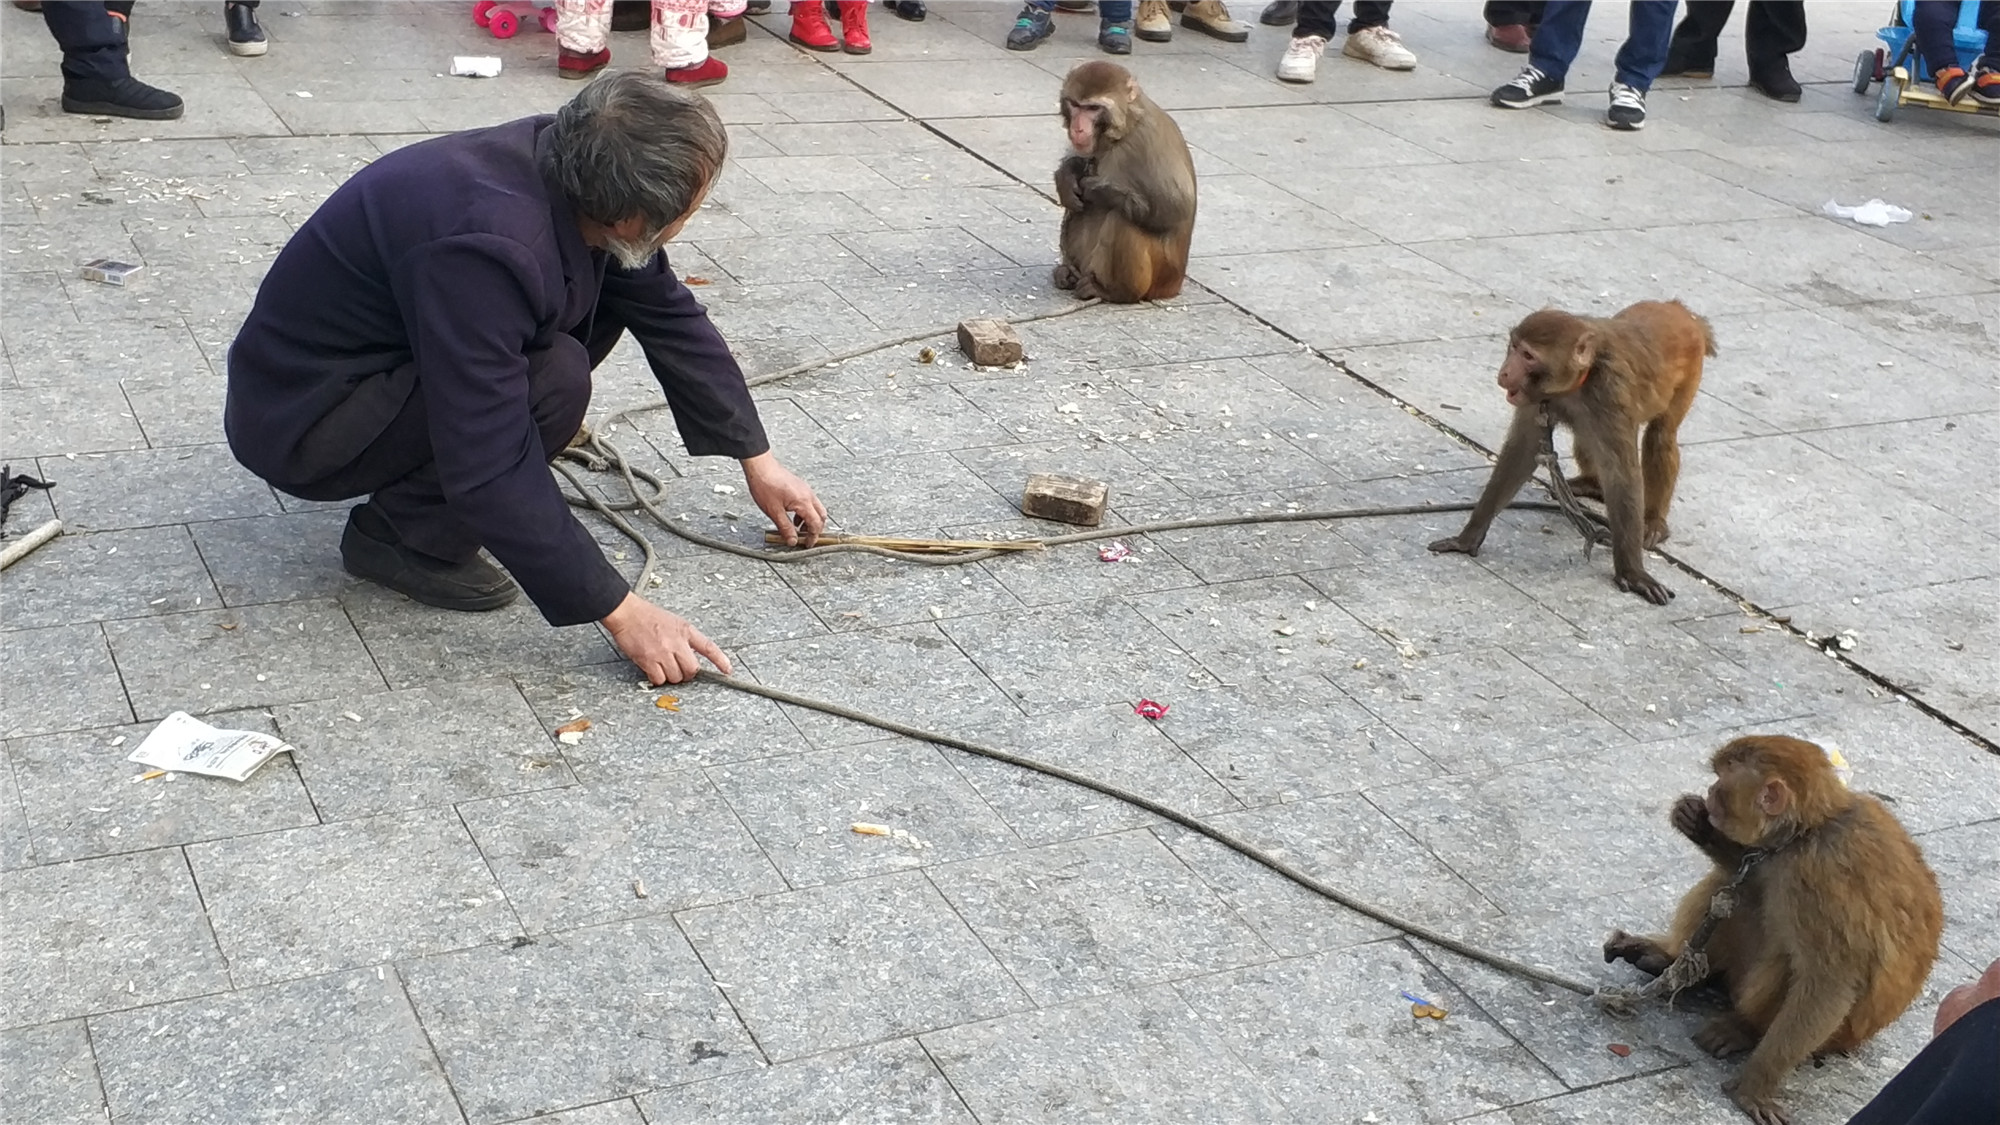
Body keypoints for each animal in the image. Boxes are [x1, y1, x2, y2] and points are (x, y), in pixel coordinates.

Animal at [1056, 60, 1192, 302]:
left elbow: (1177, 207)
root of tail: (1174, 286)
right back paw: (1068, 273)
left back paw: (1113, 291)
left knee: (1122, 219)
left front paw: (1098, 191)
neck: (1125, 129)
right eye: (1075, 105)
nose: (1078, 129)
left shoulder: (1148, 140)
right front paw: (1066, 176)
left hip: (1159, 278)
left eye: (1093, 108)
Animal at [1424, 294, 1720, 600]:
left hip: (1690, 369)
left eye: (1528, 356)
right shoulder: (1537, 398)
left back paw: (1652, 521)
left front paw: (1632, 572)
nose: (1505, 372)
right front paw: (1468, 537)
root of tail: (1676, 308)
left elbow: (1622, 476)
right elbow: (1521, 451)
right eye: (1514, 347)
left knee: (1661, 435)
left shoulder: (1609, 395)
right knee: (1587, 436)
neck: (1580, 379)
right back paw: (1591, 484)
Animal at [1608, 736, 1936, 1120]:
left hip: (1833, 1032)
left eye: (1723, 780)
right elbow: (1751, 872)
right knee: (1741, 893)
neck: (1808, 831)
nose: (1710, 791)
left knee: (1790, 957)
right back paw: (1674, 964)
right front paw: (1699, 825)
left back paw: (1743, 1028)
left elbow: (1831, 984)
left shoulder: (1817, 877)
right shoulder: (1778, 858)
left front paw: (1755, 1085)